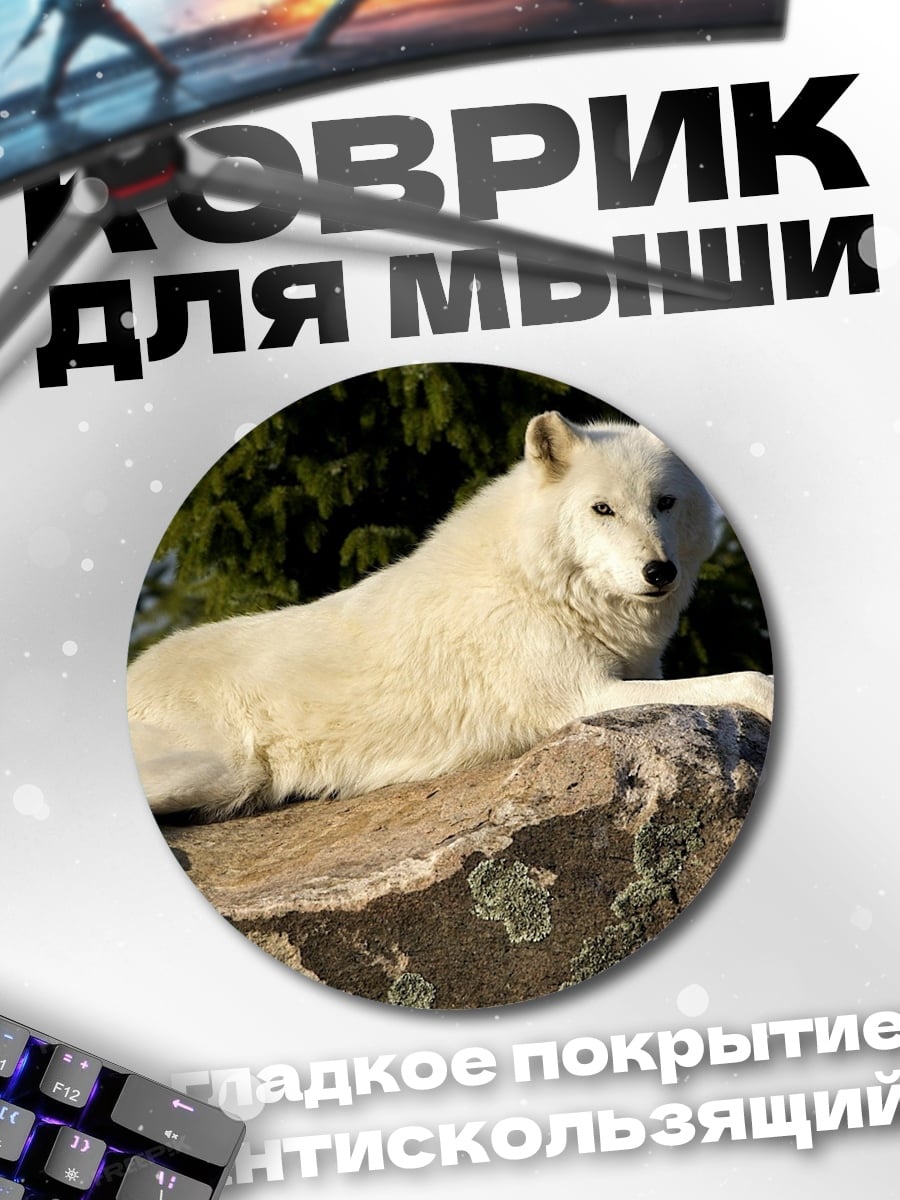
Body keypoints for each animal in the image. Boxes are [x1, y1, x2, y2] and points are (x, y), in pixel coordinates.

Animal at [128, 412, 774, 821]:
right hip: (224, 771)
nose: (659, 572)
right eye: (602, 509)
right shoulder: (581, 698)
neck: (536, 586)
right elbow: (744, 680)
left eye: (664, 503)